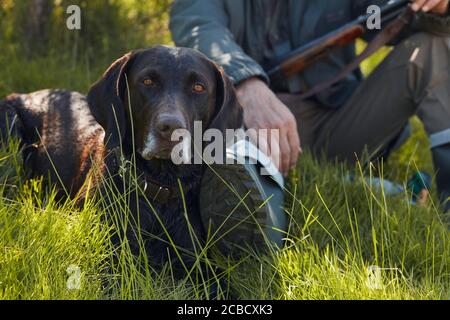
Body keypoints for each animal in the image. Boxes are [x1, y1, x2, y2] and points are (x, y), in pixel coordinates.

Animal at [0, 45, 244, 278]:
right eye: (147, 81)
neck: (159, 185)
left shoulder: (196, 260)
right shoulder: (102, 251)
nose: (171, 128)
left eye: (198, 87)